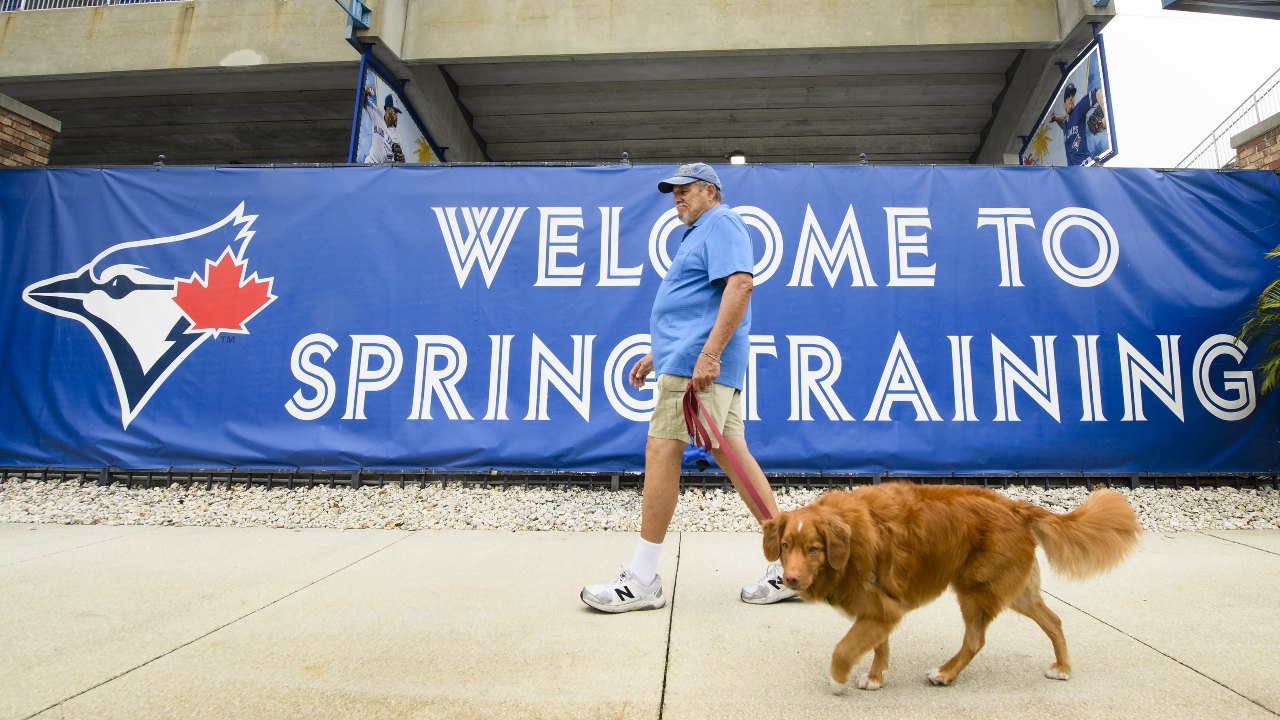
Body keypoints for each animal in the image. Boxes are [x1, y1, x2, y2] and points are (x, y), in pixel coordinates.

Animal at [757, 481, 1141, 691]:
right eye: (786, 545)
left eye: (814, 548)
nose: (789, 579)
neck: (852, 541)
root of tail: (1016, 507)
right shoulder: (881, 609)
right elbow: (878, 645)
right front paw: (877, 677)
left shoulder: (880, 607)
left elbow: (844, 649)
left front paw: (838, 680)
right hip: (1016, 593)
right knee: (1055, 621)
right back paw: (1063, 667)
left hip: (976, 589)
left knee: (975, 640)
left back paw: (945, 674)